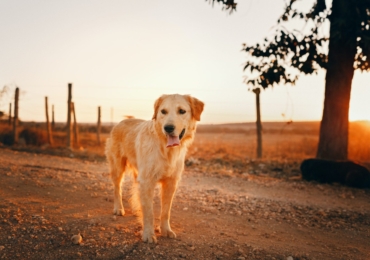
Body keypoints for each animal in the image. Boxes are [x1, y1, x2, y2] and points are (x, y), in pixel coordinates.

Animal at [105, 94, 205, 243]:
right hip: (118, 168)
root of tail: (123, 121)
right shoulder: (147, 181)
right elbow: (149, 212)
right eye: (163, 111)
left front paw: (165, 230)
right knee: (117, 188)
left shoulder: (171, 183)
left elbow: (165, 211)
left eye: (182, 111)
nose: (168, 128)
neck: (166, 150)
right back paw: (118, 208)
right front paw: (148, 234)